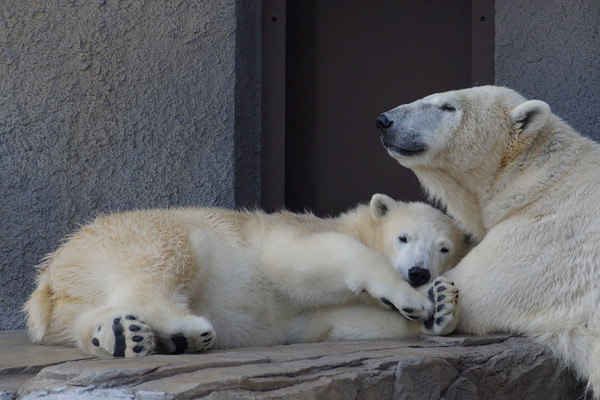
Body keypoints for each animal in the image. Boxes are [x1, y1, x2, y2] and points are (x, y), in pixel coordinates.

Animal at [24, 193, 464, 356]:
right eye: (404, 237)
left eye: (444, 248)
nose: (419, 272)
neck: (359, 226)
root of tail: (52, 272)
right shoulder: (296, 235)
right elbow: (304, 261)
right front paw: (413, 300)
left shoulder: (315, 317)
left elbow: (340, 322)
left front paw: (441, 305)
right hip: (138, 234)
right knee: (166, 261)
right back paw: (188, 329)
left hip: (74, 293)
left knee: (83, 317)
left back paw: (120, 335)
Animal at [378, 85, 600, 396]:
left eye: (448, 107)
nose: (385, 120)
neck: (536, 177)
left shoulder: (546, 235)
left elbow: (476, 289)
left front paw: (439, 298)